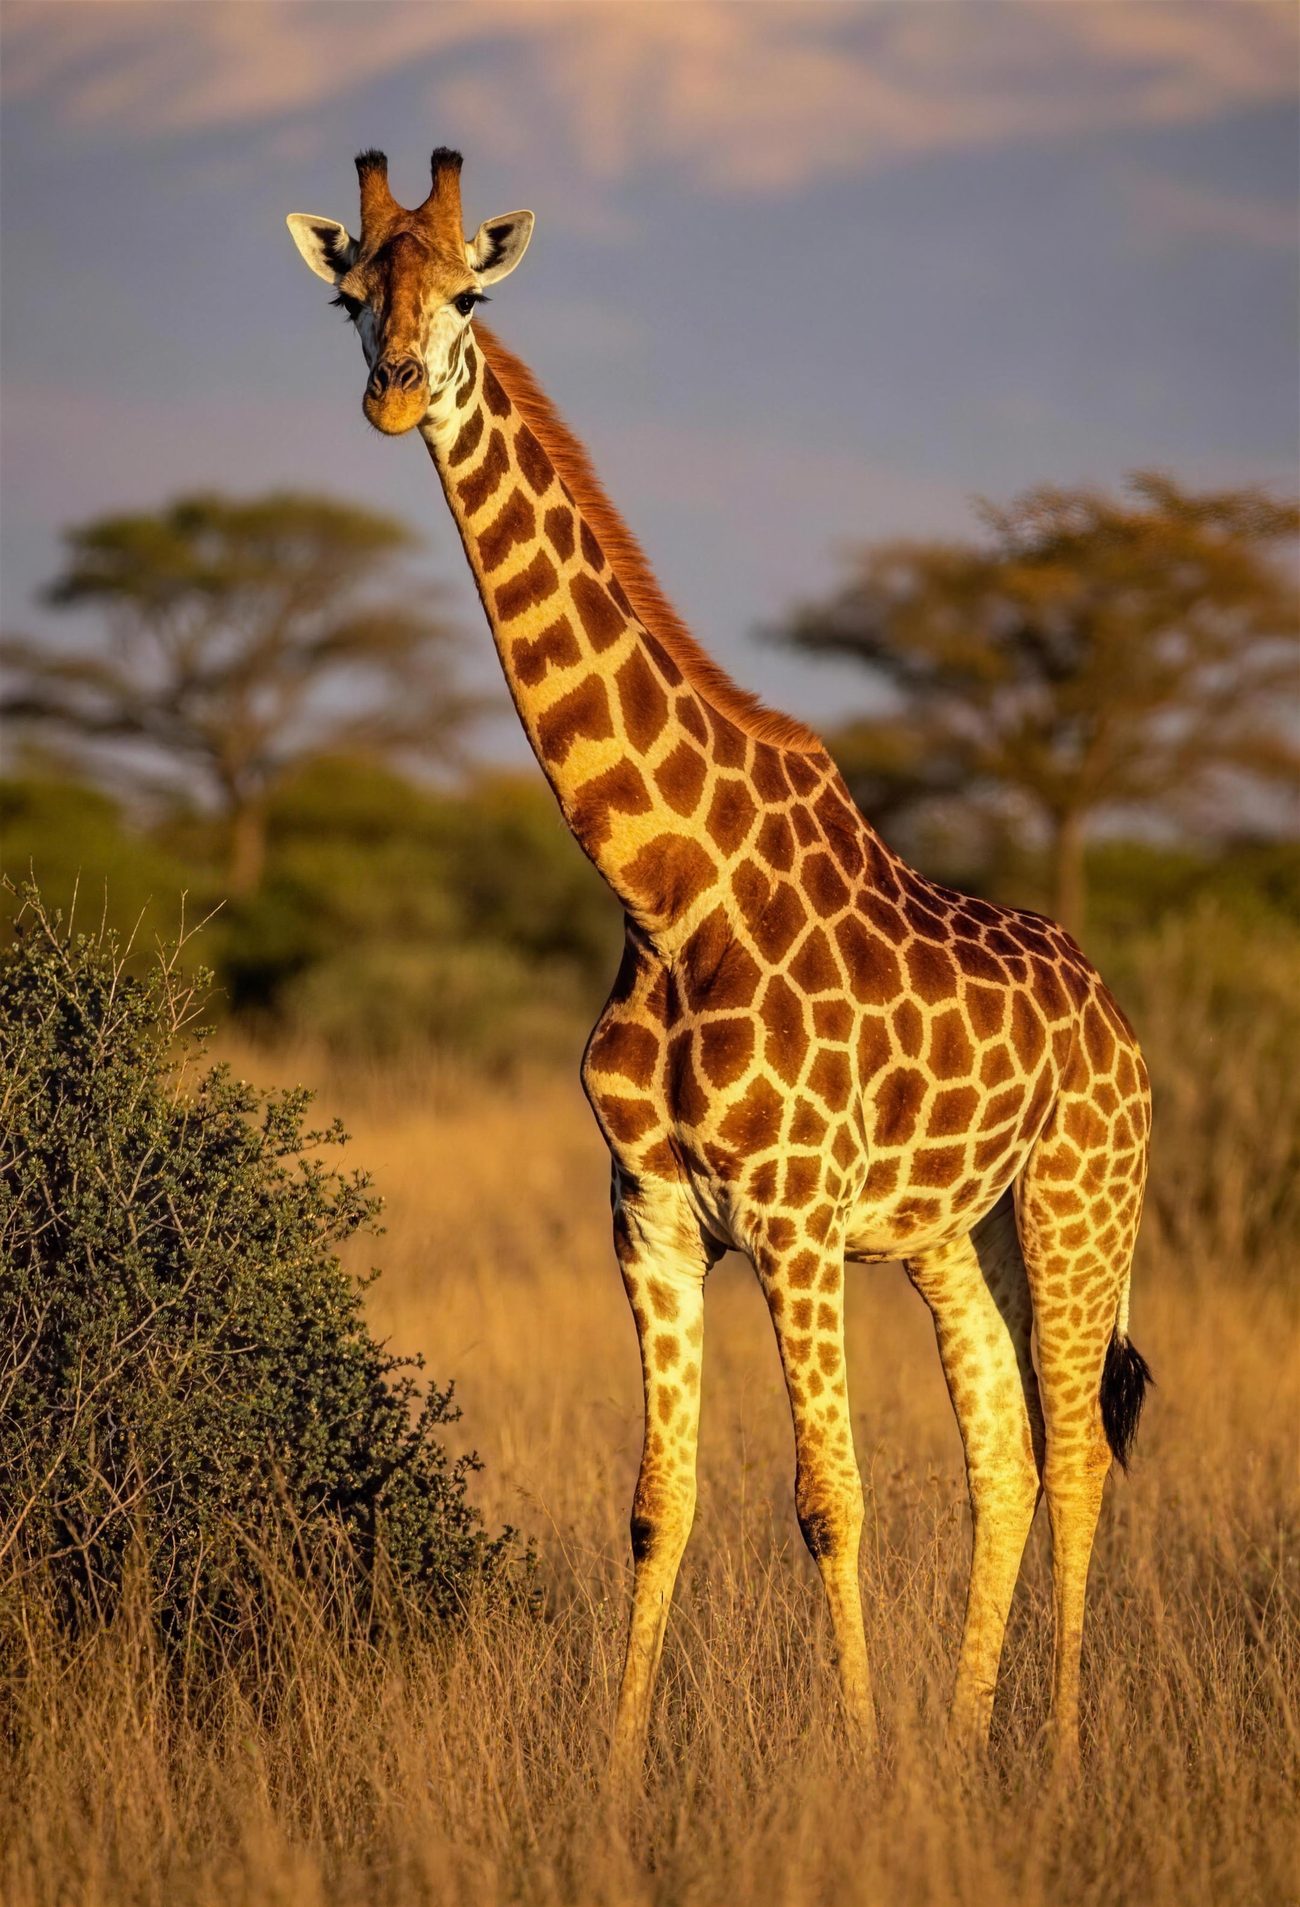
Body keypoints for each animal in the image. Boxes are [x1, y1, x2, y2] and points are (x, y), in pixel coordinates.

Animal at [288, 148, 1152, 1775]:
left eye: (471, 293)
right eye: (350, 291)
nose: (390, 392)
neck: (665, 889)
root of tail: (1121, 1021)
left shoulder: (796, 1219)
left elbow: (829, 1501)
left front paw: (858, 1768)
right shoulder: (651, 1215)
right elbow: (656, 1504)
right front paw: (623, 1775)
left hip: (1081, 1204)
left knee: (1077, 1452)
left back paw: (1065, 1753)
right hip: (956, 1234)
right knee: (1004, 1455)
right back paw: (967, 1741)